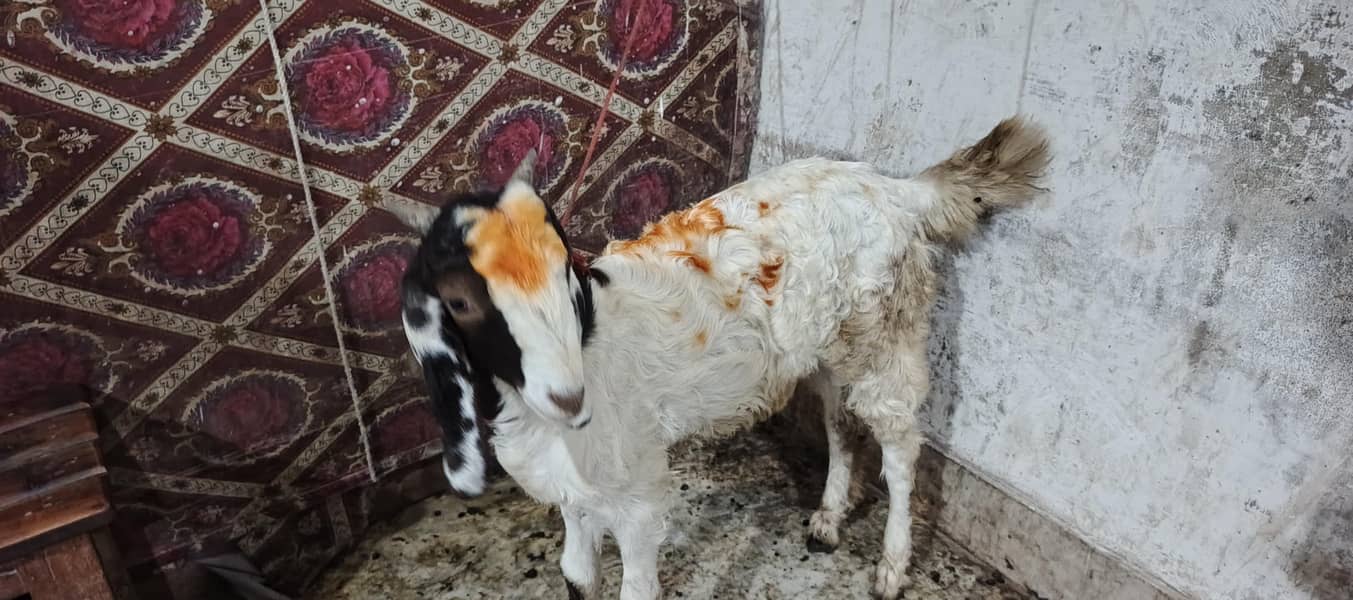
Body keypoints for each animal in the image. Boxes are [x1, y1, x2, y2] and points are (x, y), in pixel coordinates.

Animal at [388, 117, 1050, 600]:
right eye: (459, 300)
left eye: (563, 265)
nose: (569, 397)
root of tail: (898, 189)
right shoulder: (574, 495)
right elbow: (576, 574)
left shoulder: (638, 493)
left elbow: (637, 586)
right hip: (827, 347)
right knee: (841, 424)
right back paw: (829, 518)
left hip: (887, 333)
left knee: (901, 448)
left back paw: (890, 568)